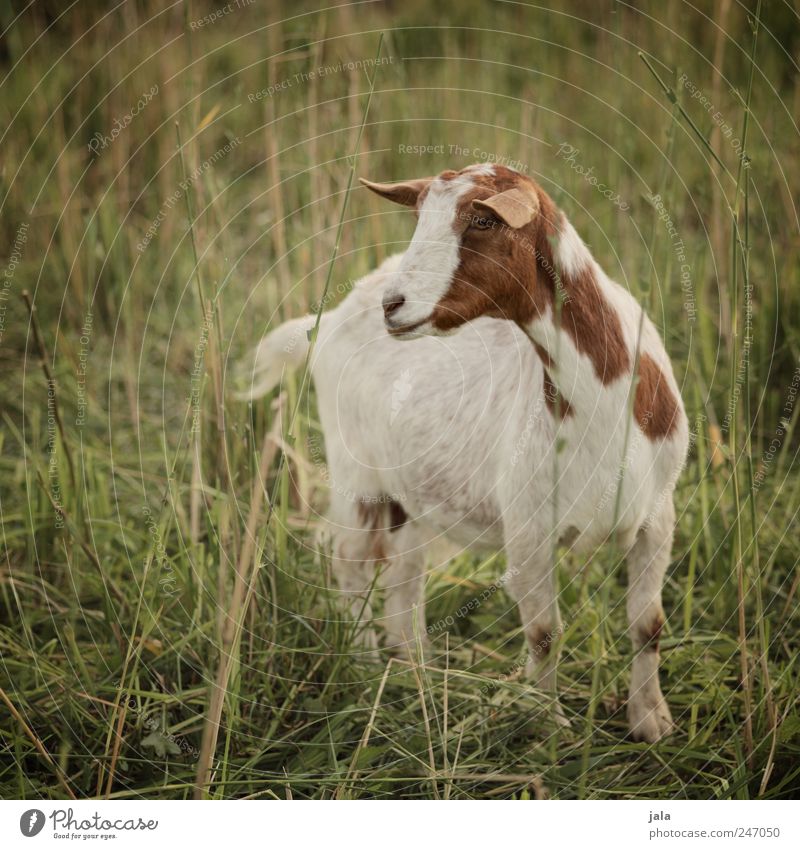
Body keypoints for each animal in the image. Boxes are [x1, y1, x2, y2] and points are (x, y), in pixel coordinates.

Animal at [241, 162, 692, 740]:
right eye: (419, 217)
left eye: (482, 220)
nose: (393, 305)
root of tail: (329, 318)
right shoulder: (528, 527)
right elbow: (544, 633)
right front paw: (550, 729)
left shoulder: (658, 513)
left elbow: (647, 624)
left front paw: (652, 721)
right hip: (357, 472)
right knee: (352, 563)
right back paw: (365, 669)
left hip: (411, 495)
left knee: (404, 580)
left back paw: (417, 674)